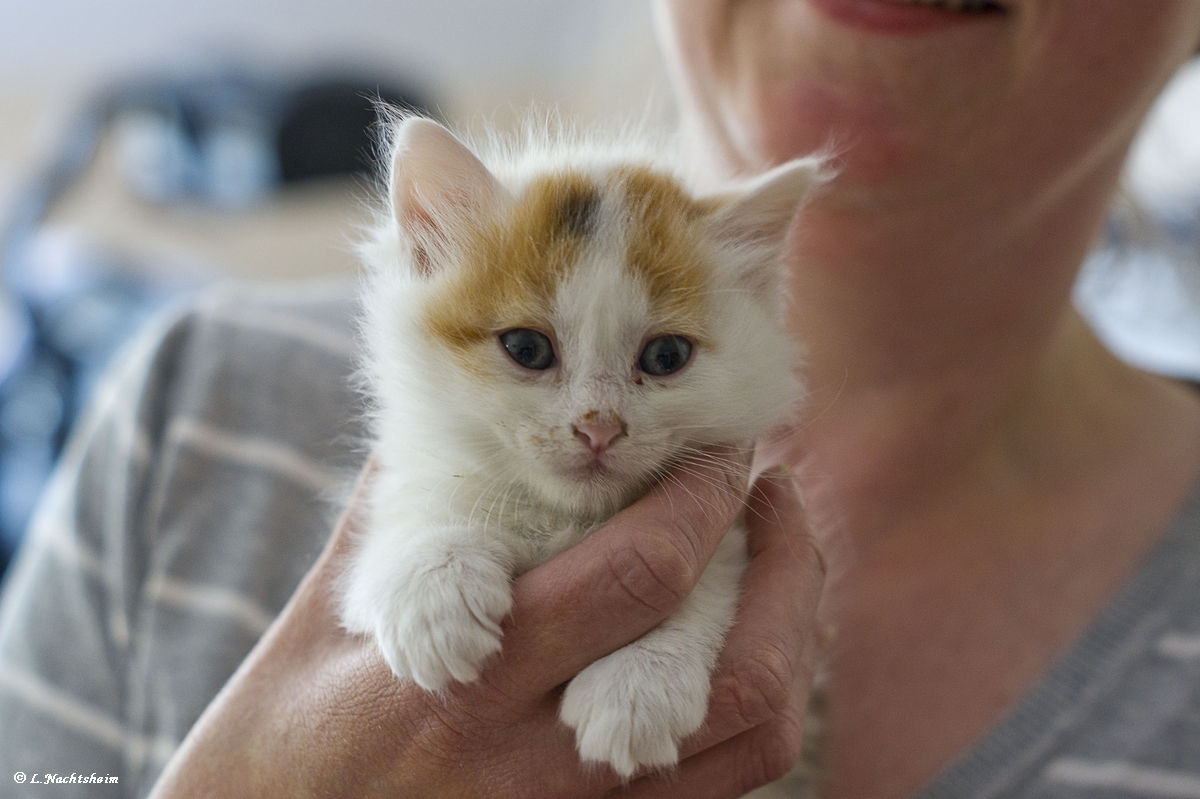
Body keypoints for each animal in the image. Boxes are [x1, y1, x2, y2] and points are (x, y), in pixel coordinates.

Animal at [343, 116, 820, 777]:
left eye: (666, 356)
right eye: (527, 348)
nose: (599, 428)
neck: (570, 519)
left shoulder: (732, 526)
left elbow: (709, 579)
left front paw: (638, 685)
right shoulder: (404, 486)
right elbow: (420, 511)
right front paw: (434, 594)